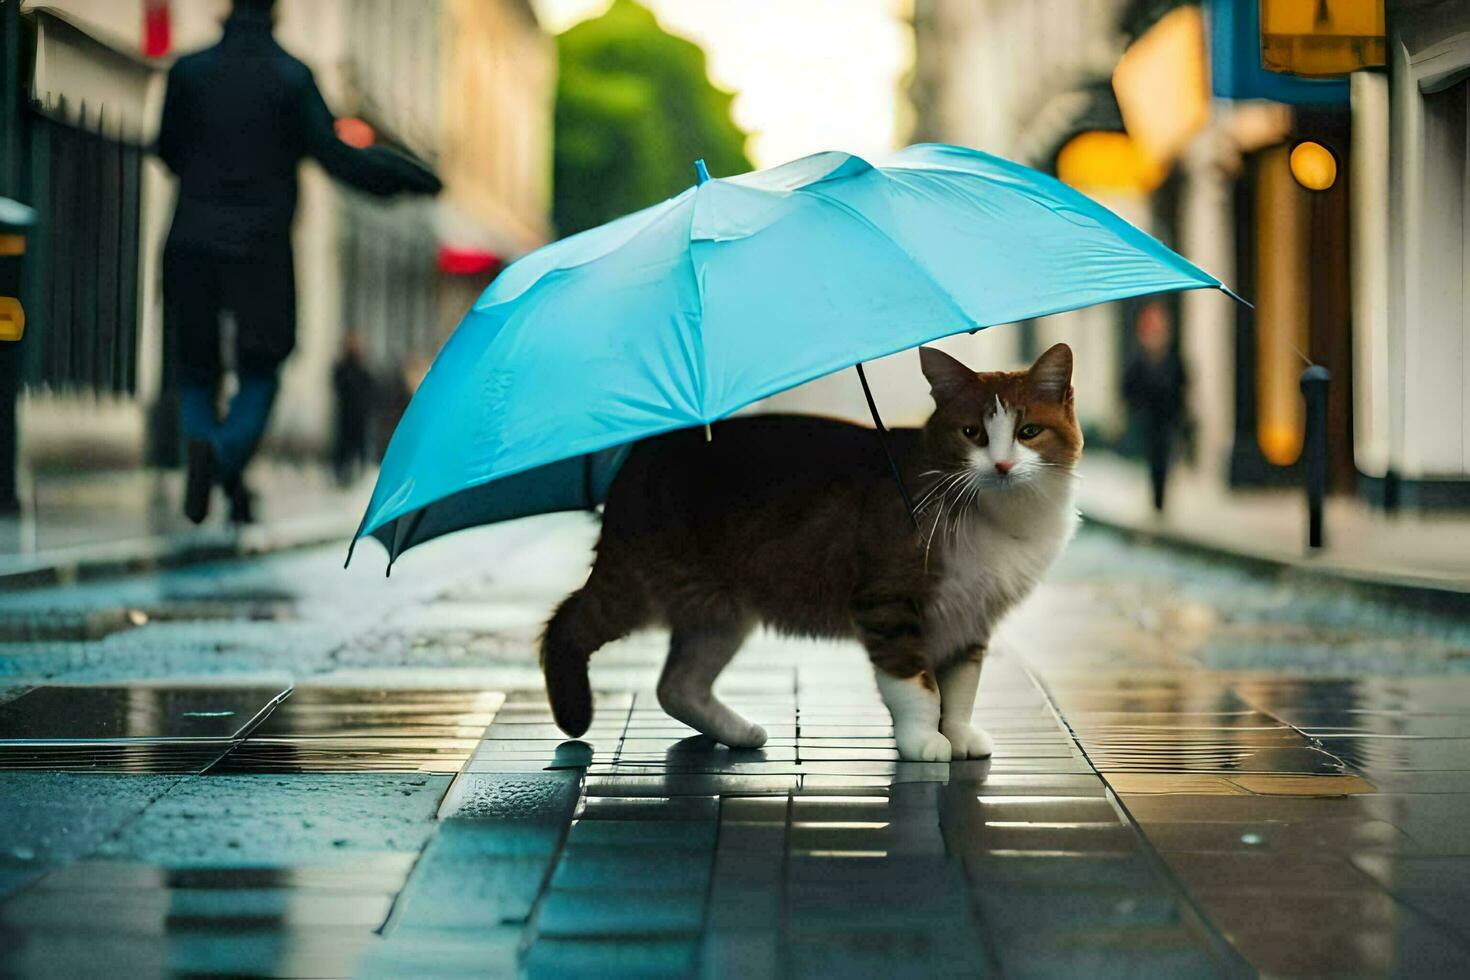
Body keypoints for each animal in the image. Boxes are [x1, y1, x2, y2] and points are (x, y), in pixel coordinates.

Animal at [540, 340, 1081, 764]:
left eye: (1028, 432)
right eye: (973, 433)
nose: (1003, 465)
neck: (997, 514)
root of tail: (643, 450)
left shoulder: (971, 619)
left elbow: (961, 689)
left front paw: (958, 734)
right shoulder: (887, 604)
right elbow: (916, 685)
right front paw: (923, 740)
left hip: (719, 613)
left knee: (677, 686)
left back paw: (739, 733)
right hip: (637, 586)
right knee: (568, 622)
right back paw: (573, 714)